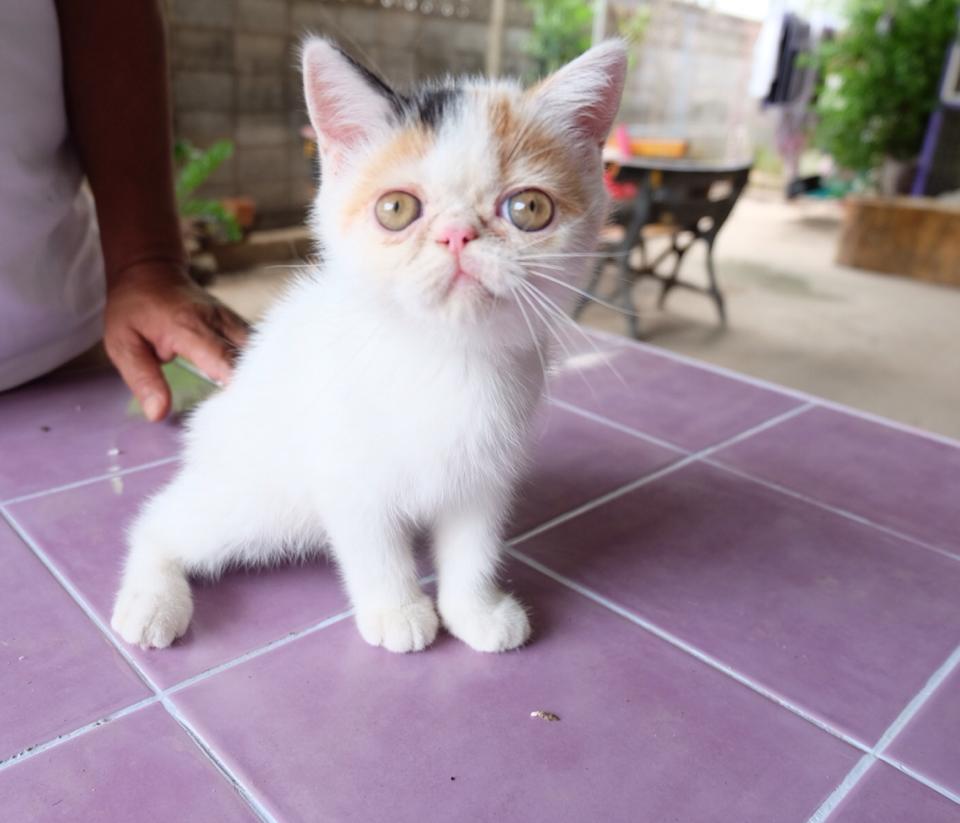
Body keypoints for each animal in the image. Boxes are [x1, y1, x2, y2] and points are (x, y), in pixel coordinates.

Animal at [110, 37, 626, 654]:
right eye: (396, 209)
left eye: (529, 209)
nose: (457, 235)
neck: (443, 357)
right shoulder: (342, 463)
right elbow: (373, 543)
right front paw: (397, 611)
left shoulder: (485, 472)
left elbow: (474, 545)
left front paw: (474, 610)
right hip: (261, 497)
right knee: (159, 518)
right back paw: (151, 600)